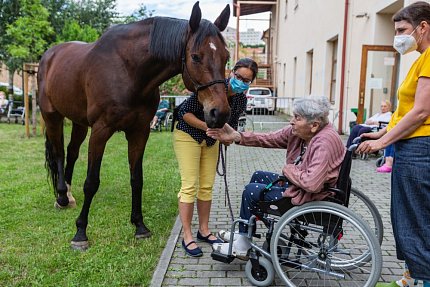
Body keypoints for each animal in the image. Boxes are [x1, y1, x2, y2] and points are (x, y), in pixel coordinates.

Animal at [37, 1, 232, 250]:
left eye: (226, 56)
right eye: (196, 57)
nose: (220, 113)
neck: (129, 70)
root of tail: (49, 55)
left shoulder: (139, 132)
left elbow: (136, 179)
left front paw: (139, 226)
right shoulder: (100, 131)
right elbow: (91, 181)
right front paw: (80, 232)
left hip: (79, 122)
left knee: (71, 152)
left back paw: (69, 194)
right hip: (52, 116)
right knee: (59, 153)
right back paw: (61, 196)